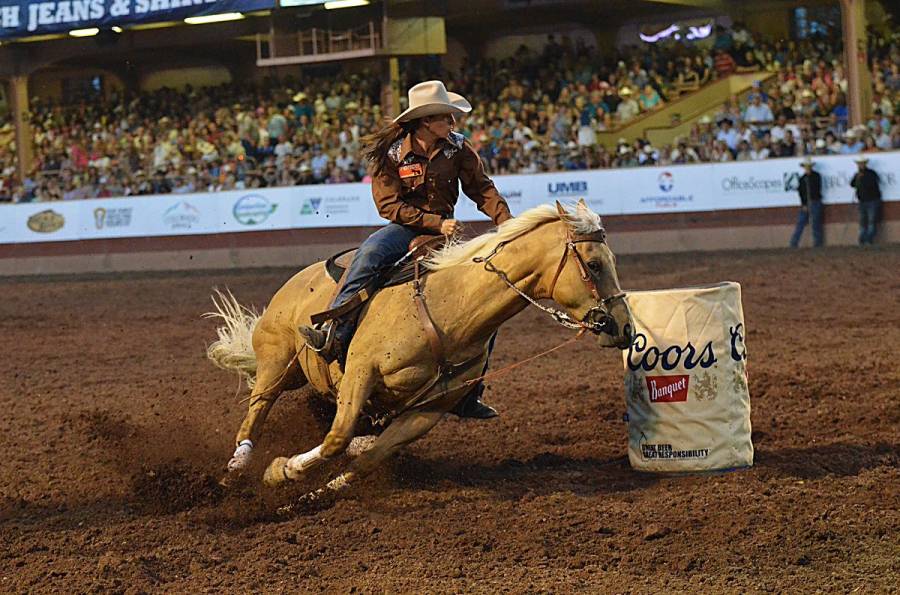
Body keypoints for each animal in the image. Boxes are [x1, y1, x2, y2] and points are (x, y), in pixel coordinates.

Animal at [208, 201, 632, 502]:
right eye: (594, 264)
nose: (624, 328)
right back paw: (235, 469)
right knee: (258, 409)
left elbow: (368, 458)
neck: (451, 309)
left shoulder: (427, 412)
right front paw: (280, 471)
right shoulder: (361, 371)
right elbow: (336, 438)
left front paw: (311, 494)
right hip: (278, 362)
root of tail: (298, 279)